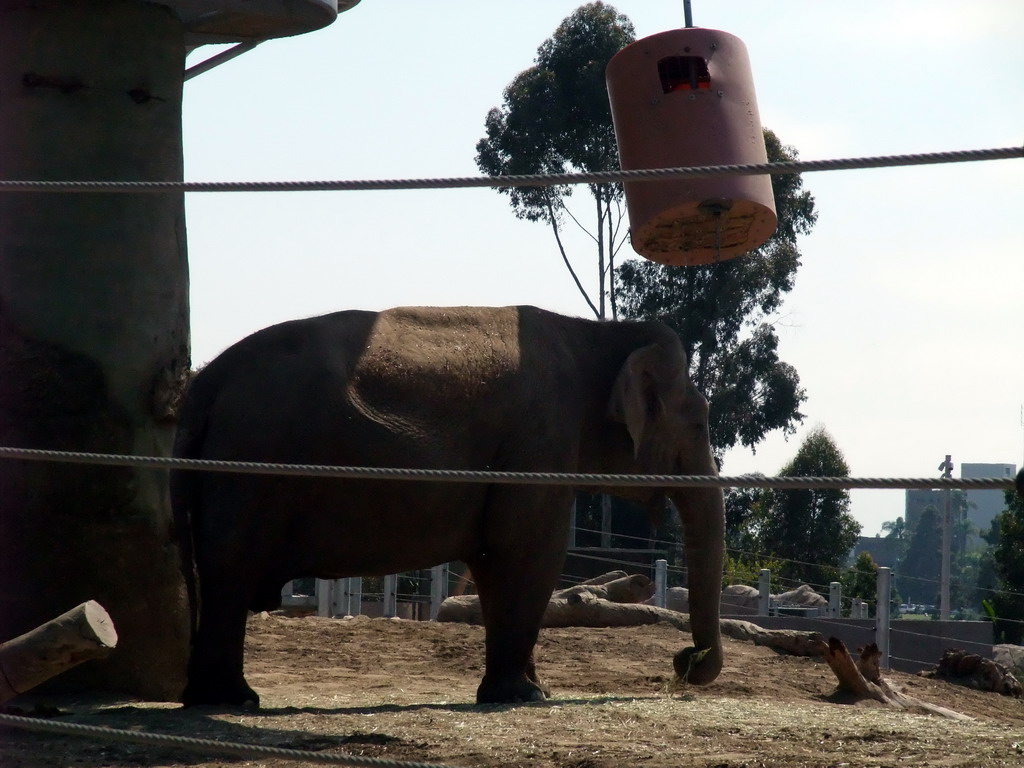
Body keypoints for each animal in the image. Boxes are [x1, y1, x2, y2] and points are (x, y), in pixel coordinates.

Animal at [172, 305, 724, 708]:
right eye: (700, 424)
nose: (685, 662)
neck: (596, 334)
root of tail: (205, 382)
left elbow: (493, 561)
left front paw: (525, 691)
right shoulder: (539, 443)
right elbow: (527, 553)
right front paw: (526, 697)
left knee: (217, 575)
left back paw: (212, 698)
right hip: (250, 464)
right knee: (230, 572)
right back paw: (235, 702)